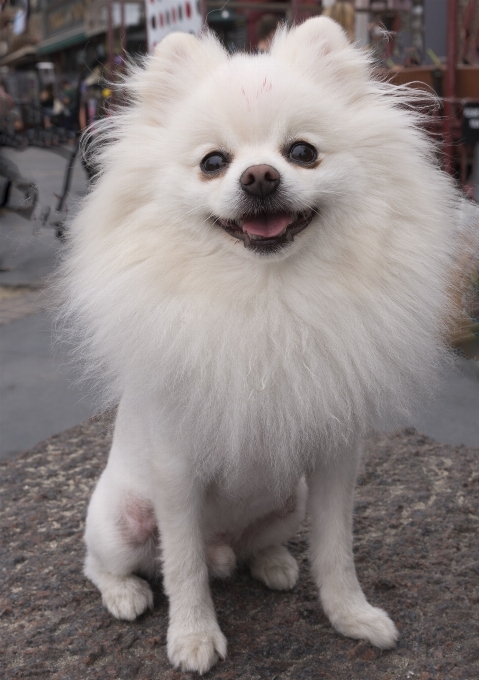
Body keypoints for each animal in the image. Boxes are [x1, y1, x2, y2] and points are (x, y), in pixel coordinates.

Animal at [59, 18, 468, 676]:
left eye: (301, 152)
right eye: (213, 162)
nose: (259, 176)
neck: (269, 294)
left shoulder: (333, 462)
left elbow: (336, 551)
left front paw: (352, 617)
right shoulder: (175, 471)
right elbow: (183, 566)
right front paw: (192, 637)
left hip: (287, 500)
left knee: (251, 547)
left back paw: (271, 563)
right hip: (120, 520)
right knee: (107, 563)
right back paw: (126, 594)